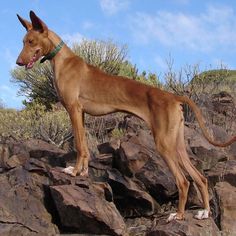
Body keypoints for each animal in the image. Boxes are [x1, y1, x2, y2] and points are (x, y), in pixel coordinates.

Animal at [15, 10, 235, 221]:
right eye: (23, 41)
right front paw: (84, 172)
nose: (18, 62)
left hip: (164, 144)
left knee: (183, 181)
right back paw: (205, 212)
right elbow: (84, 145)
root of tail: (173, 96)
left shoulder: (73, 109)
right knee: (200, 177)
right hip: (178, 144)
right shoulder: (81, 113)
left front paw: (74, 171)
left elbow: (78, 145)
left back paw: (178, 215)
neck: (63, 59)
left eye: (31, 41)